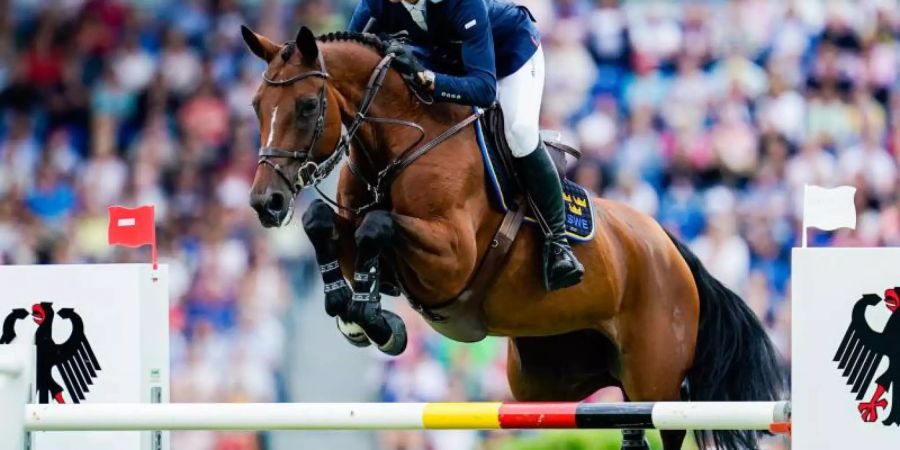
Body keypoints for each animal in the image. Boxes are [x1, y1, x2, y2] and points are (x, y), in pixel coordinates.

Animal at [243, 25, 784, 450]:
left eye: (307, 106)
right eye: (256, 106)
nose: (266, 203)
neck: (399, 145)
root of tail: (672, 250)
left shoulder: (451, 259)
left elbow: (379, 225)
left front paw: (372, 318)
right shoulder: (357, 231)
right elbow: (322, 221)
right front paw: (354, 312)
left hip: (656, 378)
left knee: (667, 421)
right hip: (548, 381)